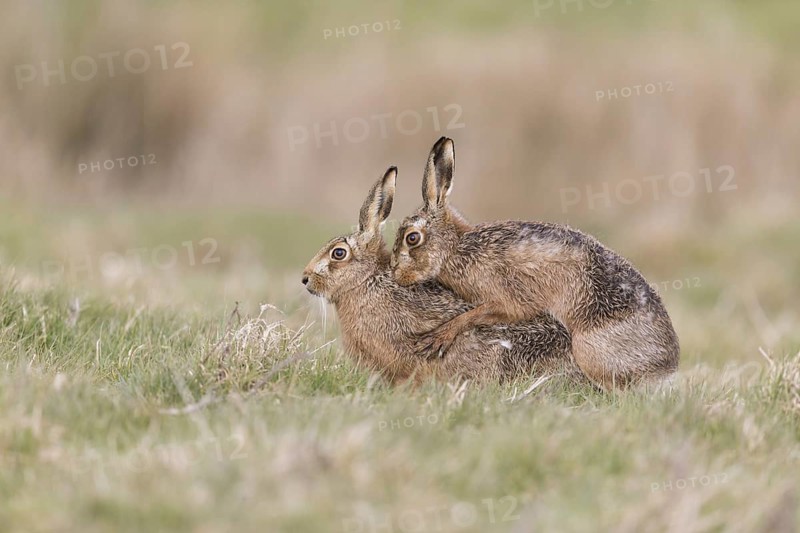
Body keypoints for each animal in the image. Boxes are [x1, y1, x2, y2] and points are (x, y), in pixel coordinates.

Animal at [390, 137, 680, 389]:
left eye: (412, 238)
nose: (396, 274)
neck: (456, 248)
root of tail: (666, 368)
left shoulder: (503, 297)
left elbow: (478, 314)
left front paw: (438, 338)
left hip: (590, 351)